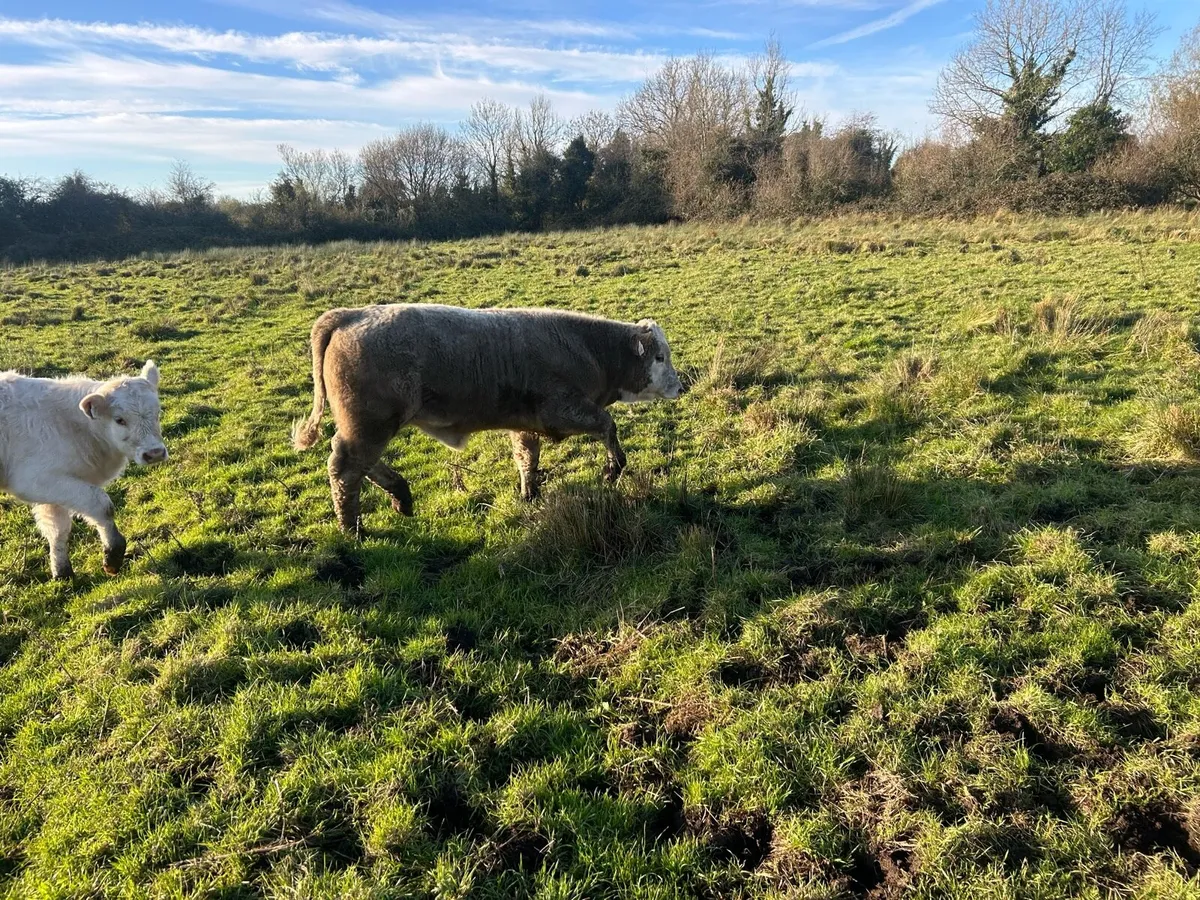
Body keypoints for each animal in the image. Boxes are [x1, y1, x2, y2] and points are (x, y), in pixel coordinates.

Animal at [0, 361, 168, 579]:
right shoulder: (35, 480)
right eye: (119, 420)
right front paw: (113, 554)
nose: (154, 453)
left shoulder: (56, 489)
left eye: (158, 412)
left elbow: (58, 529)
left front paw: (62, 571)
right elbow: (102, 504)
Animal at [291, 304, 684, 534]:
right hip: (370, 425)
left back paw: (400, 495)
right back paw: (353, 527)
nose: (681, 386)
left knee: (359, 463)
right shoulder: (562, 411)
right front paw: (612, 470)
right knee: (345, 468)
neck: (587, 348)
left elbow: (527, 458)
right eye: (660, 357)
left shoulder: (526, 425)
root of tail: (351, 314)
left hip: (368, 427)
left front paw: (529, 494)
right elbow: (607, 426)